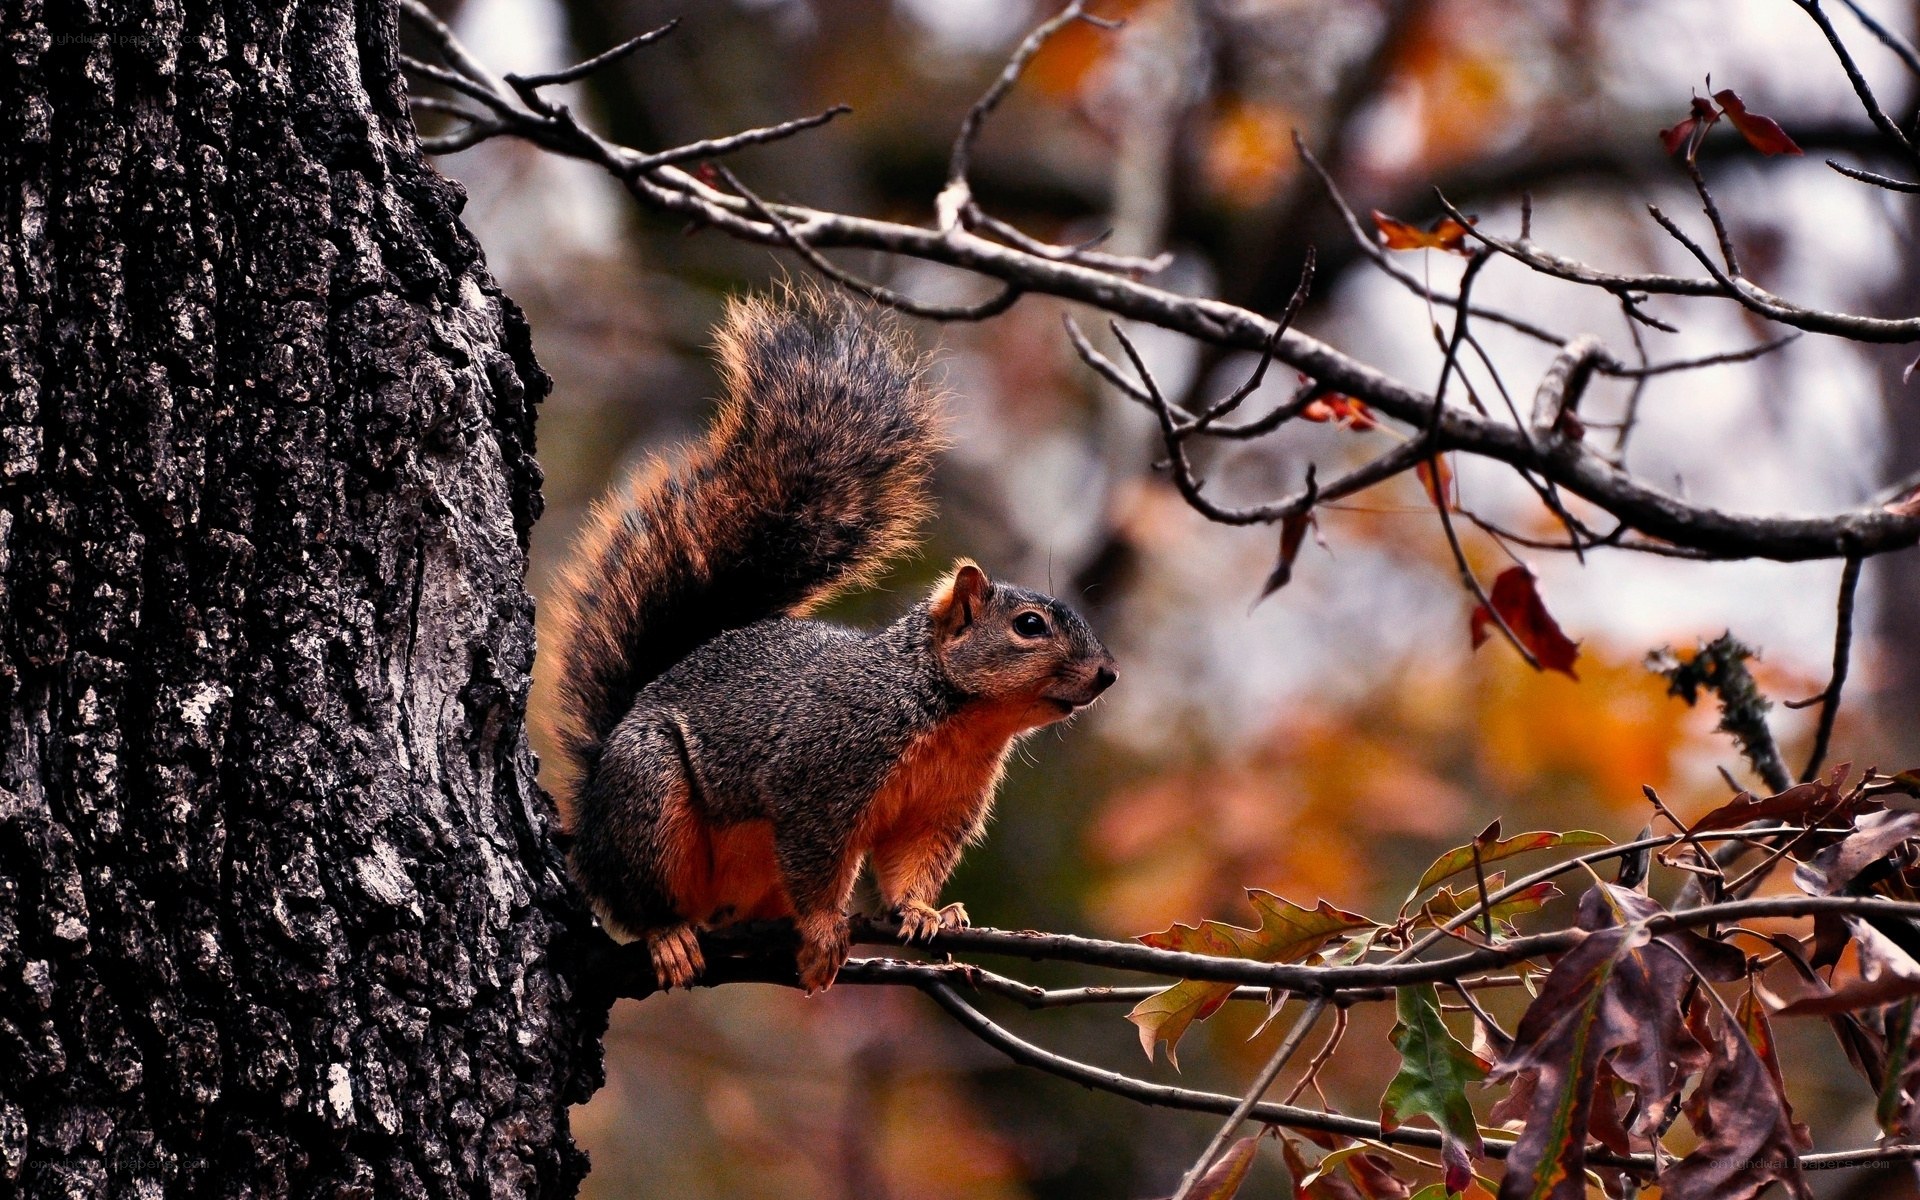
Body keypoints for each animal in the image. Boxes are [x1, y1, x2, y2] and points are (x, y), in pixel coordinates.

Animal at [547, 287, 1118, 994]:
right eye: (1030, 626)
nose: (1107, 673)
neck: (956, 717)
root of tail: (592, 801)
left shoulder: (939, 809)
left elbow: (911, 863)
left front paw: (926, 911)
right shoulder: (822, 777)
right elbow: (817, 860)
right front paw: (823, 930)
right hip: (646, 794)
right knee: (638, 894)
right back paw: (670, 935)